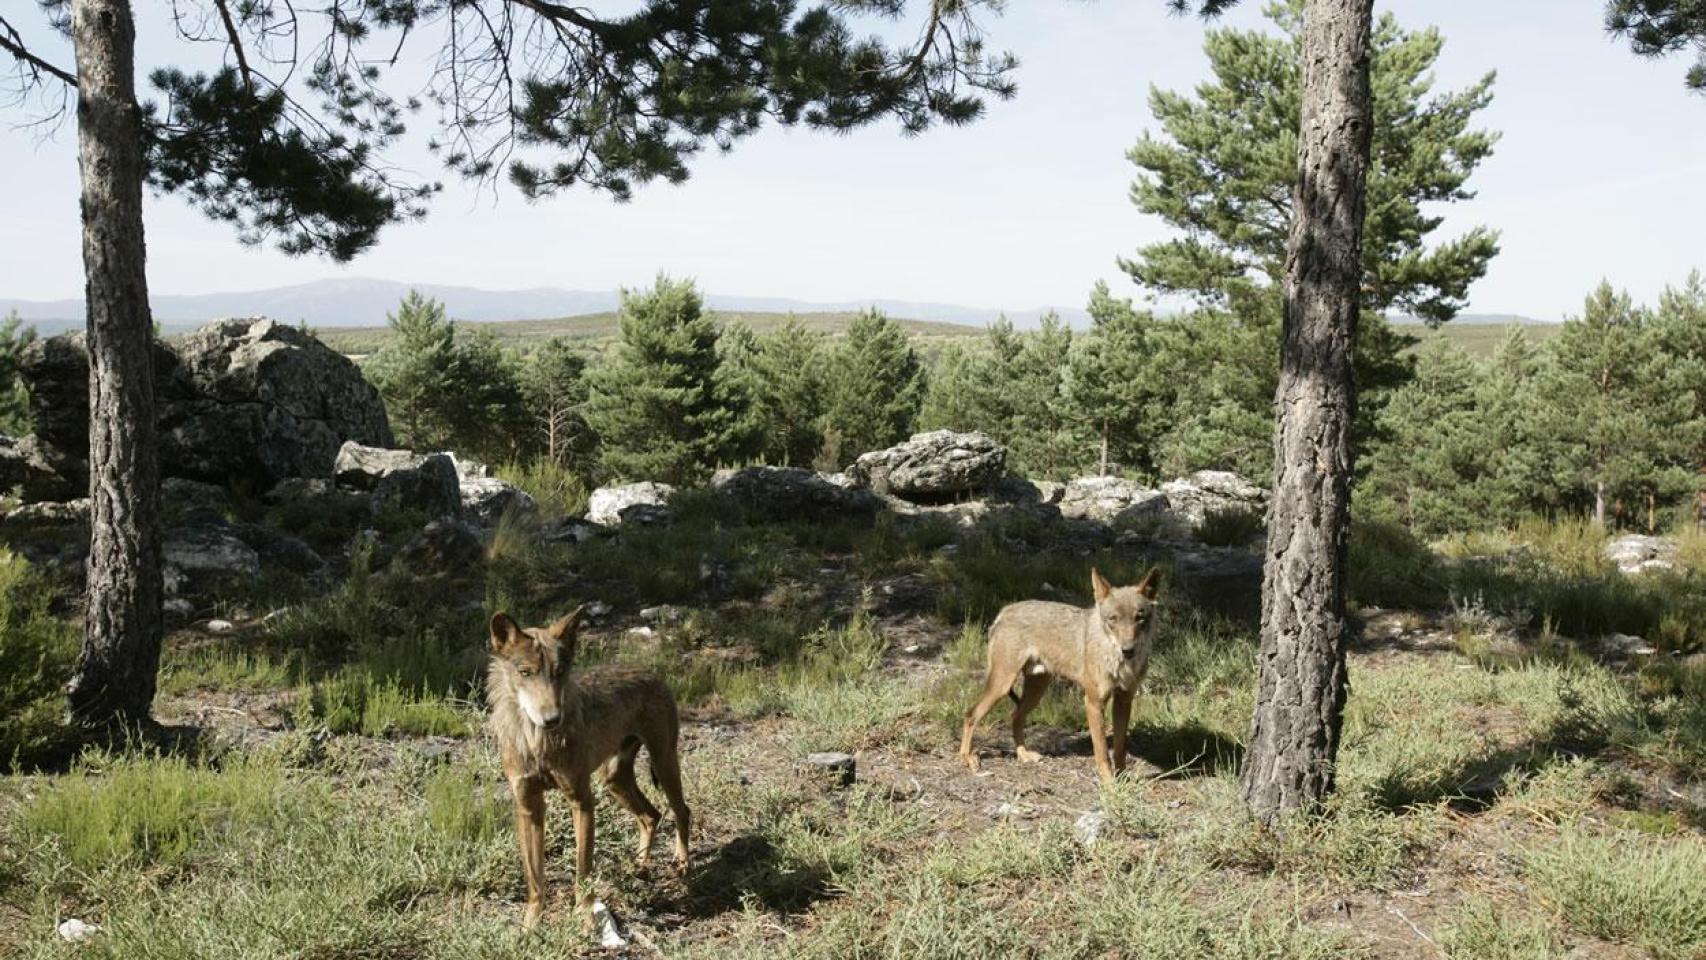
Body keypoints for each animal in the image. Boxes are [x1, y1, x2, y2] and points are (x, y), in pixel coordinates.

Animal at [487, 608, 691, 928]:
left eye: (559, 672)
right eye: (525, 673)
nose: (552, 719)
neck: (537, 743)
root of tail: (650, 672)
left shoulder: (582, 801)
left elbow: (582, 869)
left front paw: (584, 915)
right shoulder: (528, 806)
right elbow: (535, 879)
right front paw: (531, 925)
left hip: (664, 763)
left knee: (682, 812)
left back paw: (682, 864)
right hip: (614, 780)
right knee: (651, 815)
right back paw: (638, 868)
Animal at [958, 567, 1162, 783]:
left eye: (1139, 618)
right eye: (1112, 619)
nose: (1128, 650)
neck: (1118, 661)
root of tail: (1005, 611)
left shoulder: (1124, 700)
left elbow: (1120, 749)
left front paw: (1122, 778)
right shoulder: (1093, 702)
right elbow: (1102, 753)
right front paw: (1109, 783)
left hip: (1035, 692)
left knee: (1014, 716)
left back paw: (1023, 755)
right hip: (1002, 686)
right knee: (971, 715)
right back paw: (967, 758)